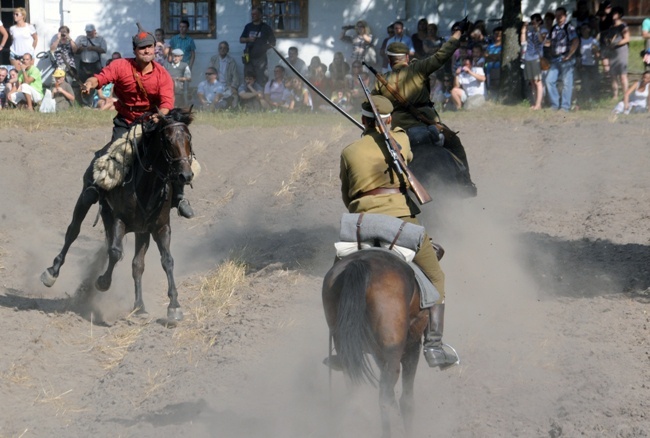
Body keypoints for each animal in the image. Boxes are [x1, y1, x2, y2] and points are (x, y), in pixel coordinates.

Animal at [41, 108, 194, 322]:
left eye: (188, 138)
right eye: (168, 140)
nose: (185, 175)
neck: (147, 186)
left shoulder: (160, 228)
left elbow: (166, 261)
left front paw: (174, 306)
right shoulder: (119, 220)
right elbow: (115, 252)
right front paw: (103, 282)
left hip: (138, 230)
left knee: (137, 264)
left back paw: (139, 306)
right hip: (87, 197)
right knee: (73, 232)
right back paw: (52, 272)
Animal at [320, 248, 430, 436]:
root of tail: (360, 264)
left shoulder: (380, 355)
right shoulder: (412, 347)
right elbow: (407, 401)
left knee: (355, 393)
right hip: (394, 355)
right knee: (385, 399)